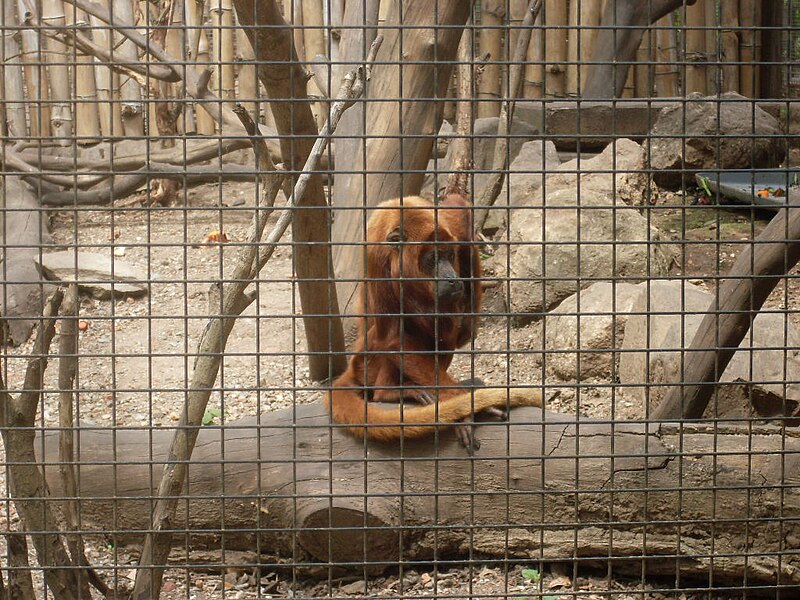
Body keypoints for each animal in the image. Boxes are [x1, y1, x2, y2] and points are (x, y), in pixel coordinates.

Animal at [326, 196, 544, 450]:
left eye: (448, 255)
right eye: (433, 258)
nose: (453, 279)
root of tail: (352, 369)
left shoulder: (451, 229)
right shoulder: (376, 256)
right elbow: (392, 338)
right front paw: (466, 409)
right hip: (366, 364)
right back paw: (388, 392)